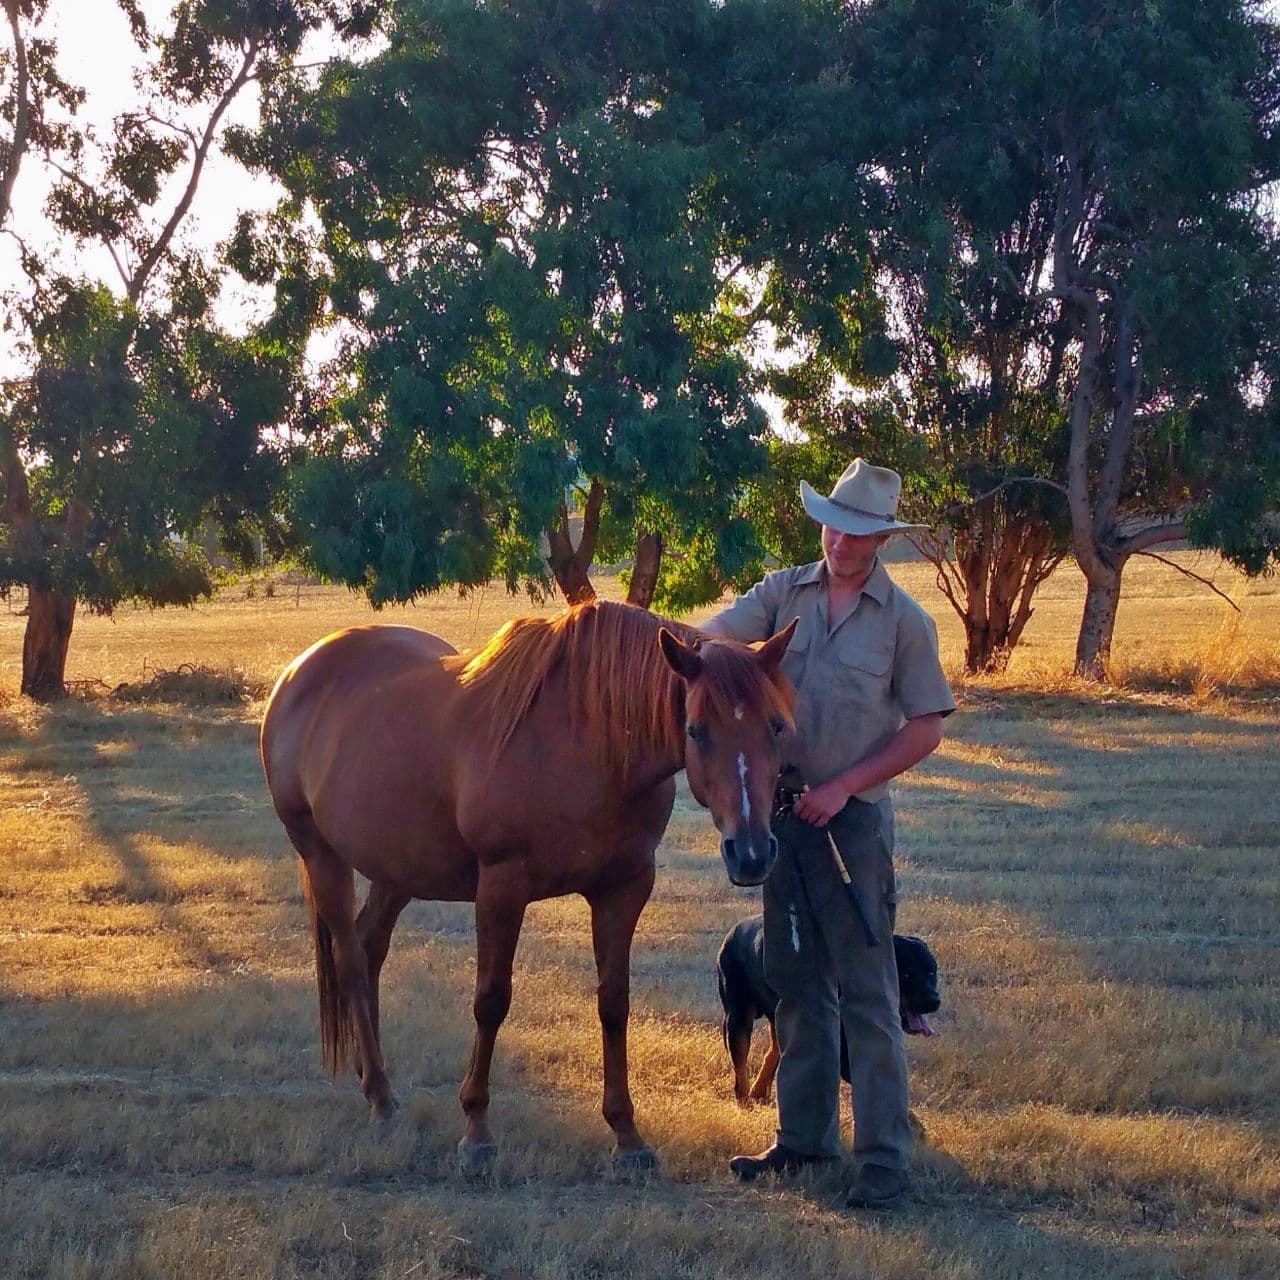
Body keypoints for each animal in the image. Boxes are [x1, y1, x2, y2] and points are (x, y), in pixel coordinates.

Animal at [261, 599, 793, 1172]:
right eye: (695, 730)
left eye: (776, 726)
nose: (752, 852)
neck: (590, 740)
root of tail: (297, 674)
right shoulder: (501, 888)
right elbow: (491, 1000)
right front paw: (476, 1132)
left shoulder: (624, 888)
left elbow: (614, 1003)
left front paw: (627, 1135)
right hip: (322, 855)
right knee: (351, 962)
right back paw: (381, 1097)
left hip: (397, 870)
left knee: (369, 946)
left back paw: (371, 1077)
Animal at [721, 916, 942, 1105]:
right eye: (906, 974)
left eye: (931, 971)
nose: (933, 1001)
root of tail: (733, 931)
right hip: (738, 1018)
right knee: (740, 1063)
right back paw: (744, 1099)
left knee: (775, 1049)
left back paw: (759, 1091)